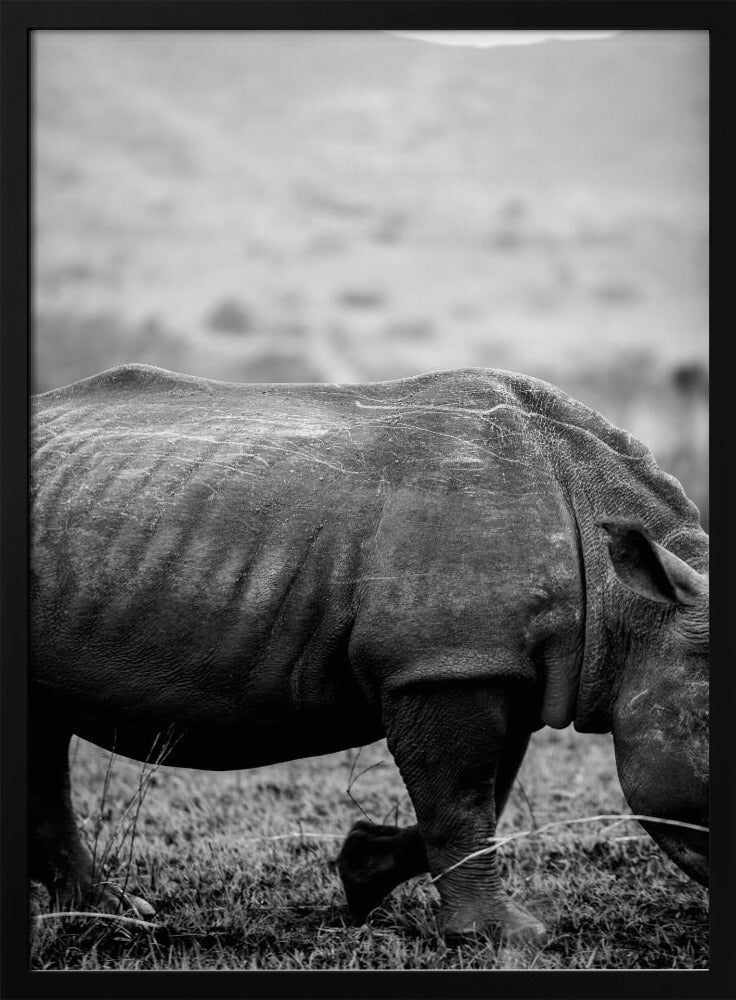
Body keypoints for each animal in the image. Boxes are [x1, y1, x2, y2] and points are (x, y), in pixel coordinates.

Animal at [30, 364, 708, 942]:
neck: (635, 608)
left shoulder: (490, 662)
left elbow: (486, 790)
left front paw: (363, 871)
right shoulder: (442, 663)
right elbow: (462, 798)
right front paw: (503, 937)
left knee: (44, 732)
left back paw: (108, 911)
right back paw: (113, 914)